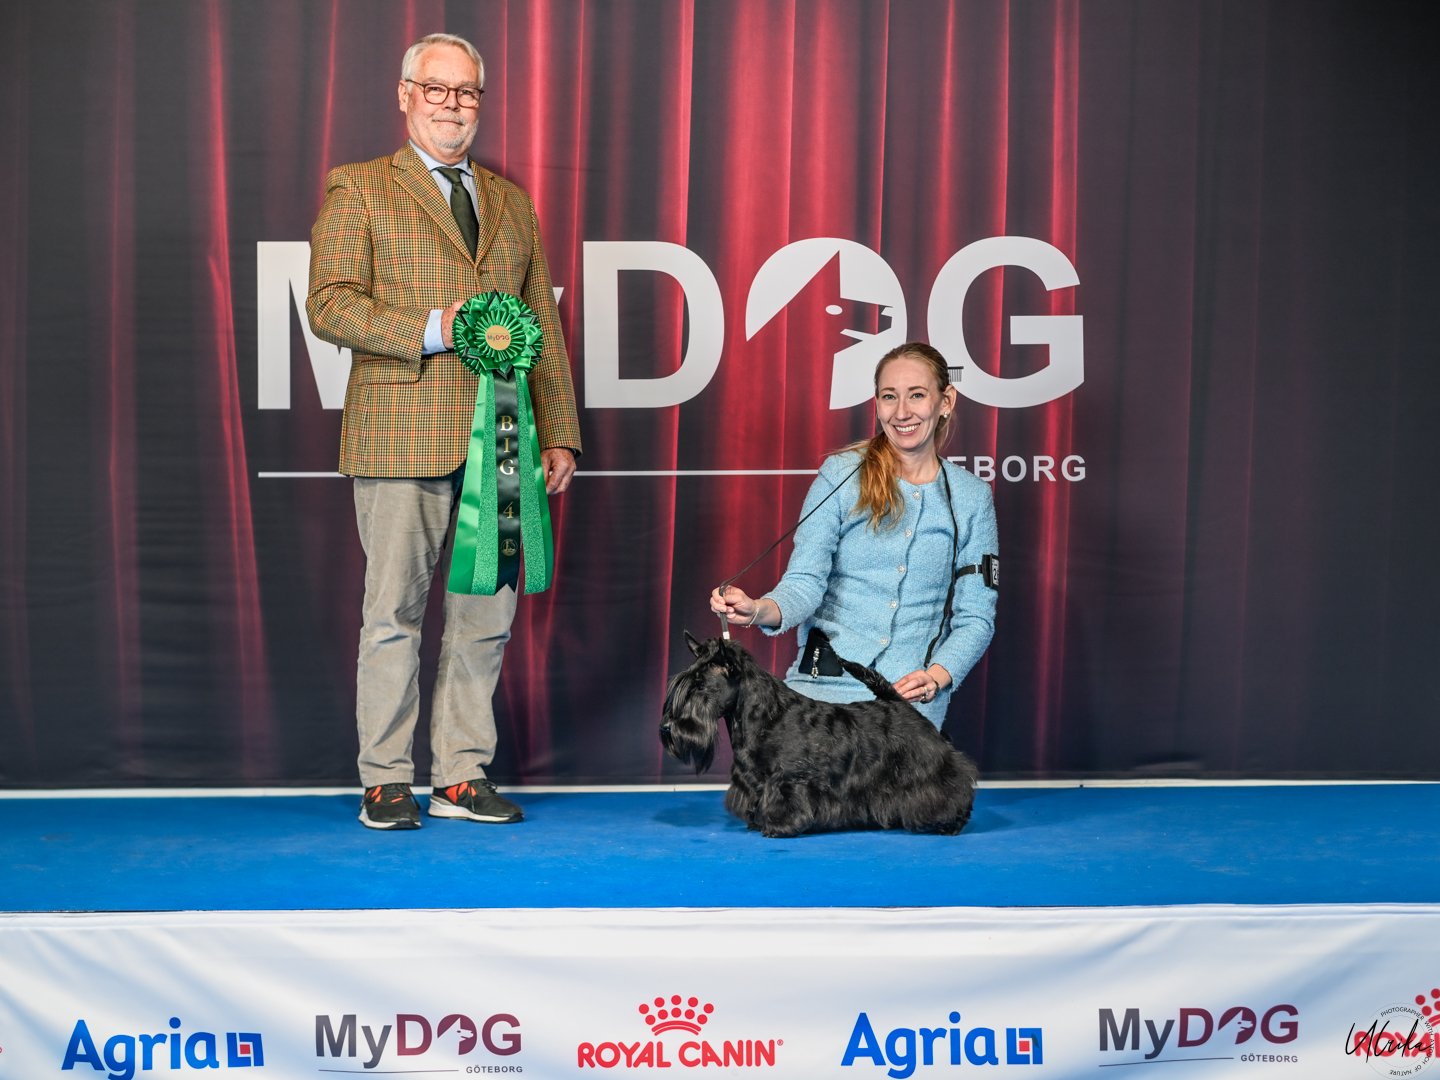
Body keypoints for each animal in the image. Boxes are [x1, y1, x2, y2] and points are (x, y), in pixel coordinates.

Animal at [660, 632, 978, 837]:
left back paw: (951, 824)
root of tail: (899, 703)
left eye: (699, 686)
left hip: (927, 768)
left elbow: (785, 803)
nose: (666, 729)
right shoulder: (753, 779)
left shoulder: (790, 780)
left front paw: (777, 828)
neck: (764, 715)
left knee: (952, 791)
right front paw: (757, 822)